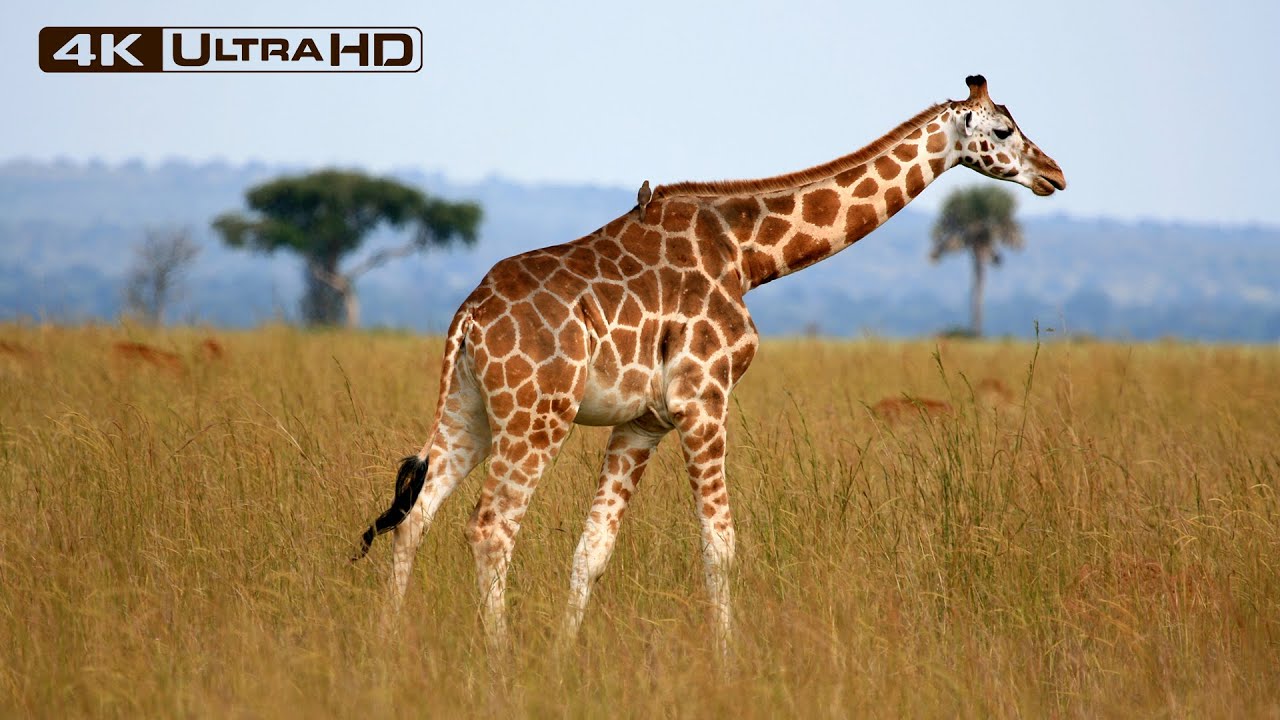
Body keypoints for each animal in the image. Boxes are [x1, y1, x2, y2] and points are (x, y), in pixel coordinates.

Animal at [353, 75, 1065, 655]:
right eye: (1004, 130)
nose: (1055, 174)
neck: (749, 254)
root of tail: (469, 317)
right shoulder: (703, 399)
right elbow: (720, 548)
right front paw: (728, 662)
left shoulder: (643, 421)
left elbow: (593, 549)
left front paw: (561, 657)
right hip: (537, 415)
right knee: (490, 530)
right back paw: (499, 661)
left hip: (469, 411)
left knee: (414, 520)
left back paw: (386, 644)